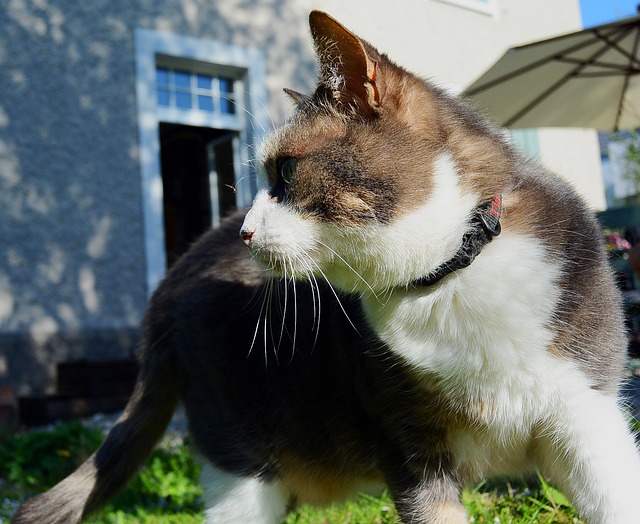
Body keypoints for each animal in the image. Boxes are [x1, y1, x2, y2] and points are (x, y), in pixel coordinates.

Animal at [11, 9, 640, 524]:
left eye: (286, 172)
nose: (244, 230)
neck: (449, 277)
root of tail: (171, 280)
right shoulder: (408, 448)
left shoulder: (587, 413)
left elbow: (615, 495)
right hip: (240, 461)